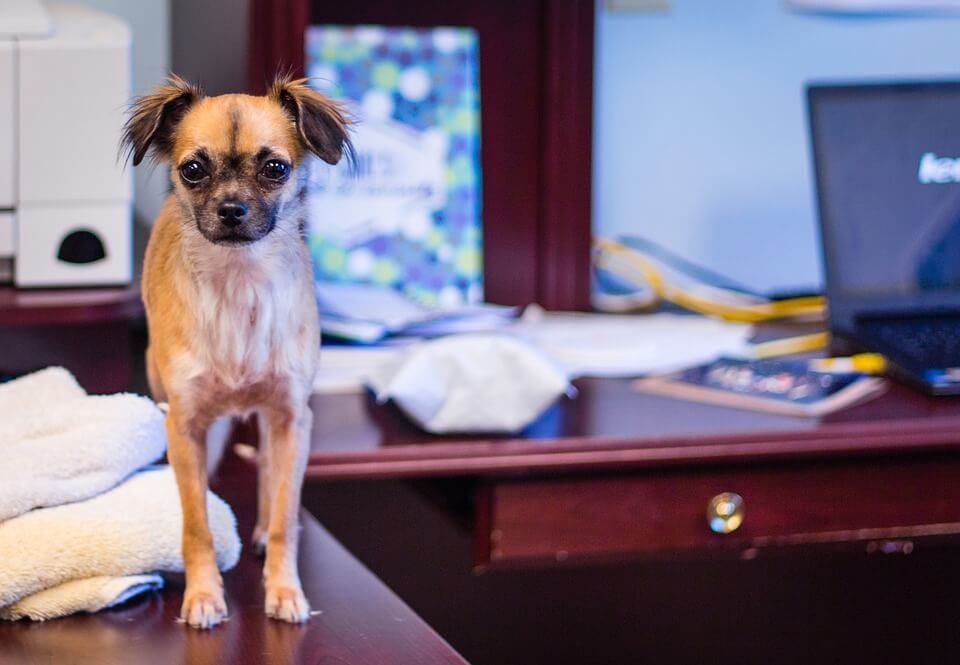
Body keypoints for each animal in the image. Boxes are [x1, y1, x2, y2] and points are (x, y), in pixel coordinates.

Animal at [124, 75, 352, 624]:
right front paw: (204, 594)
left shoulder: (291, 418)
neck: (238, 283)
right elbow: (197, 523)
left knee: (270, 475)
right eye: (193, 169)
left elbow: (286, 517)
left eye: (275, 168)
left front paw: (284, 589)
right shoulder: (184, 425)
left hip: (275, 424)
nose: (231, 209)